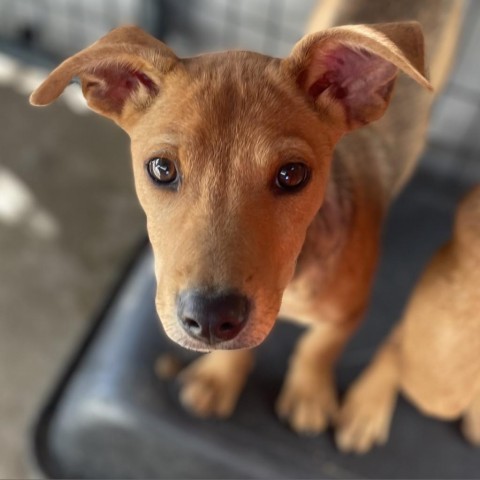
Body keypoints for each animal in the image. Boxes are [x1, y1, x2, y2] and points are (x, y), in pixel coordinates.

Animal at [29, 0, 462, 436]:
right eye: (162, 169)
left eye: (292, 174)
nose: (210, 319)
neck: (293, 277)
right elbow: (250, 349)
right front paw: (219, 378)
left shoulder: (350, 312)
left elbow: (318, 348)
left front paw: (308, 393)